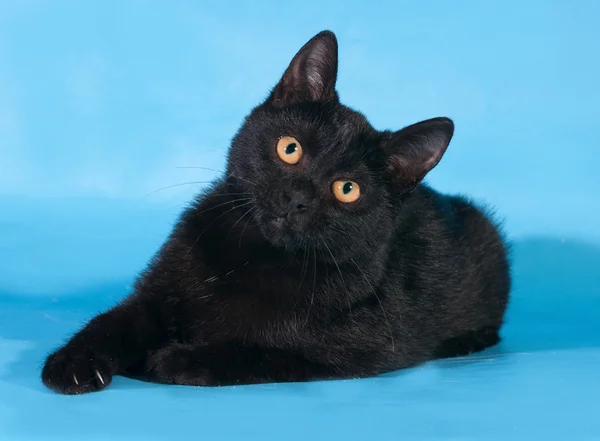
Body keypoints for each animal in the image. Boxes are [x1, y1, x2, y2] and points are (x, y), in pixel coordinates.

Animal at [42, 31, 510, 396]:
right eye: (290, 148)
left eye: (347, 190)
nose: (297, 197)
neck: (254, 256)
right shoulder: (155, 294)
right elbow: (114, 321)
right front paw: (75, 363)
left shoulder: (351, 352)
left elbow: (260, 352)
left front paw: (172, 360)